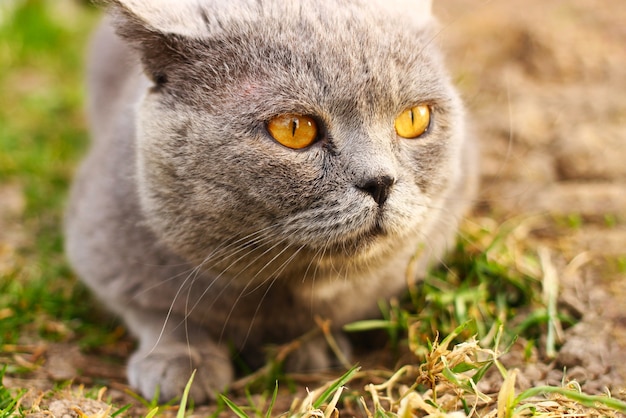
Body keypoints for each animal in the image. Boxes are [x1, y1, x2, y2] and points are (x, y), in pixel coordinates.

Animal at [63, 0, 476, 404]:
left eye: (414, 118)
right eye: (293, 128)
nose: (380, 182)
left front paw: (309, 348)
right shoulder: (102, 244)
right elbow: (155, 311)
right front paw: (183, 364)